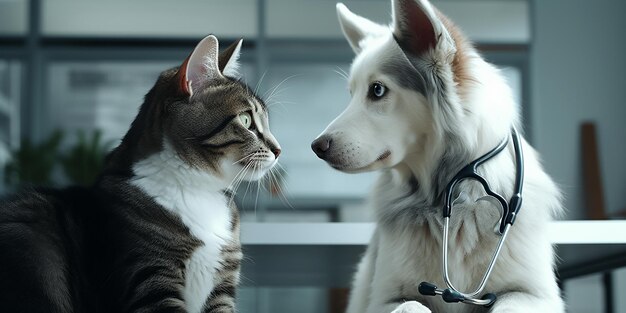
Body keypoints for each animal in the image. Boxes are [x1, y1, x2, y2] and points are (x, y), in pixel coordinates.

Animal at [310, 0, 560, 312]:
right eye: (352, 93)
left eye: (377, 90)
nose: (316, 146)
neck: (452, 195)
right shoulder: (384, 299)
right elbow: (412, 305)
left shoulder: (535, 294)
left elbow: (508, 304)